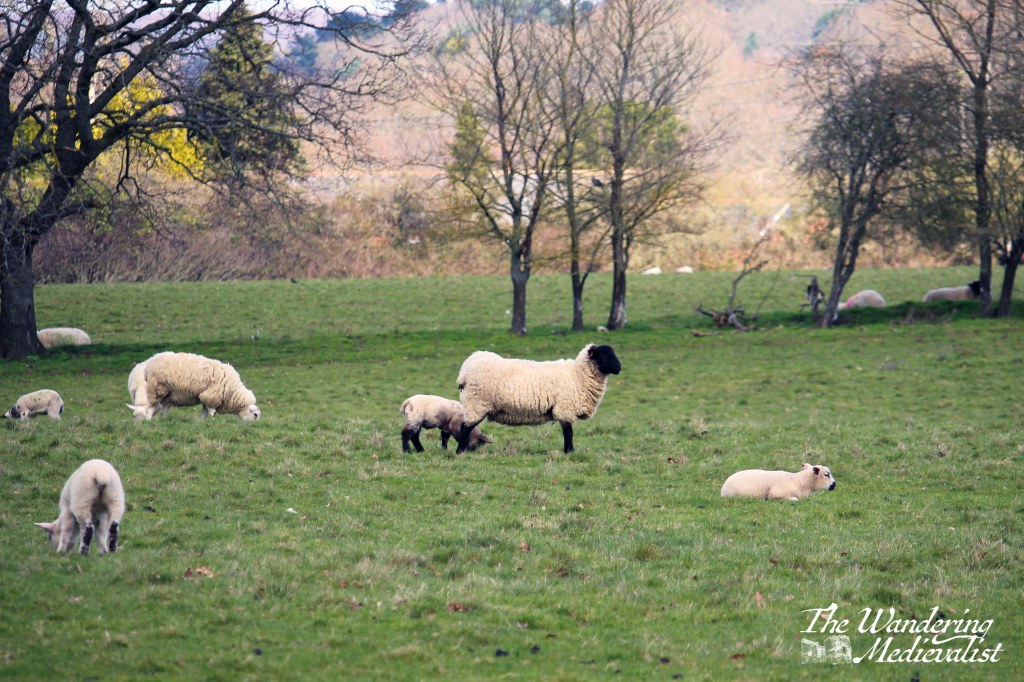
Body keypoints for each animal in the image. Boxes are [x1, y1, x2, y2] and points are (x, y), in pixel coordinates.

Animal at [127, 351, 260, 421]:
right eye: (255, 415)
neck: (232, 392)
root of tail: (150, 361)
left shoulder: (207, 396)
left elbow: (205, 410)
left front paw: (202, 421)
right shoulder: (211, 395)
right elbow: (209, 409)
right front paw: (212, 416)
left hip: (163, 394)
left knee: (160, 408)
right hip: (158, 389)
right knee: (152, 407)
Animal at [455, 344, 621, 454]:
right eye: (603, 354)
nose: (619, 367)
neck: (578, 375)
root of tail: (464, 370)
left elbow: (568, 432)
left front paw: (569, 451)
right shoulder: (564, 409)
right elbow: (568, 433)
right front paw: (569, 452)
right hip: (476, 404)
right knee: (465, 428)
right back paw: (460, 451)